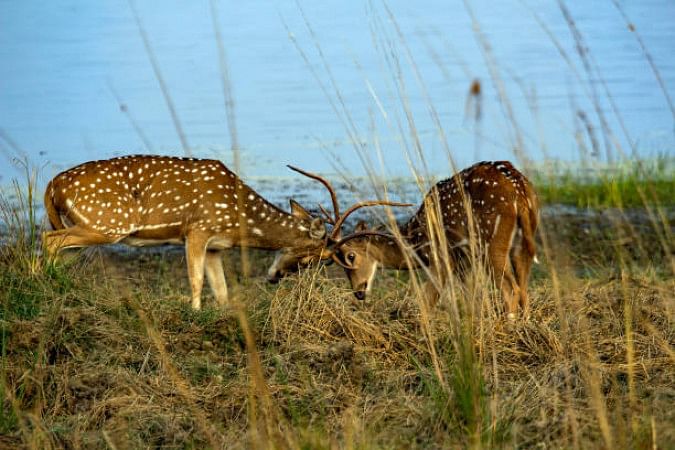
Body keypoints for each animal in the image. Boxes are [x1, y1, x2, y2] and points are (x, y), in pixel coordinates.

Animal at [44, 155, 344, 310]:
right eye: (311, 258)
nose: (274, 278)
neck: (237, 219)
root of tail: (53, 184)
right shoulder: (197, 229)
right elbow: (196, 280)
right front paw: (195, 312)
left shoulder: (215, 246)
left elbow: (222, 290)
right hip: (108, 223)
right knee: (50, 240)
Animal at [330, 162, 540, 320]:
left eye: (350, 256)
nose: (358, 292)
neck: (416, 242)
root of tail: (518, 189)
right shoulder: (463, 262)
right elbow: (471, 299)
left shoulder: (441, 257)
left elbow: (426, 300)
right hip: (522, 240)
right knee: (523, 286)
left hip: (491, 241)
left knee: (511, 289)